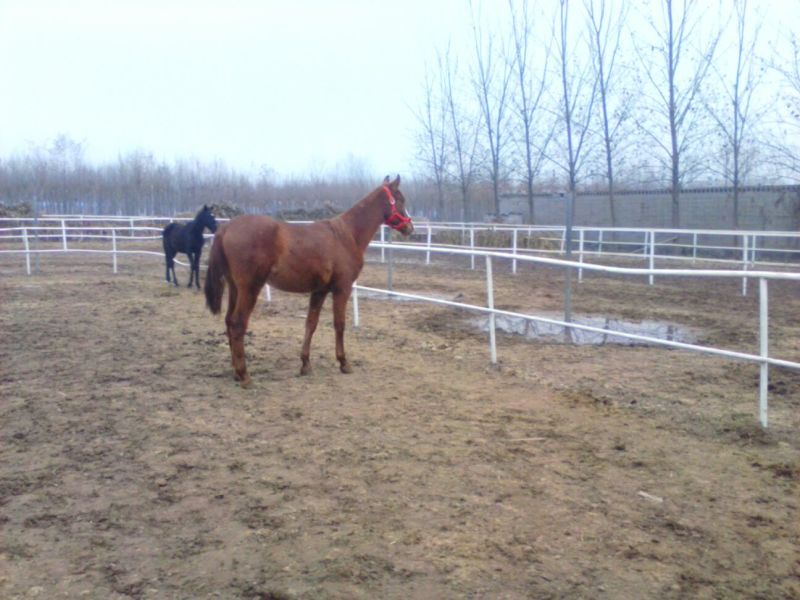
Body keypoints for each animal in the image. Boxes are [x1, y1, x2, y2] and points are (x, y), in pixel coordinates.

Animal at [204, 175, 413, 388]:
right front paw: (344, 363)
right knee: (238, 324)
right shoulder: (342, 289)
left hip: (235, 288)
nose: (409, 228)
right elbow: (339, 324)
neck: (346, 235)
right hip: (250, 289)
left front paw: (305, 364)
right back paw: (245, 376)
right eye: (401, 199)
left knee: (229, 321)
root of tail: (226, 227)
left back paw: (236, 373)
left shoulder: (319, 291)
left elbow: (311, 324)